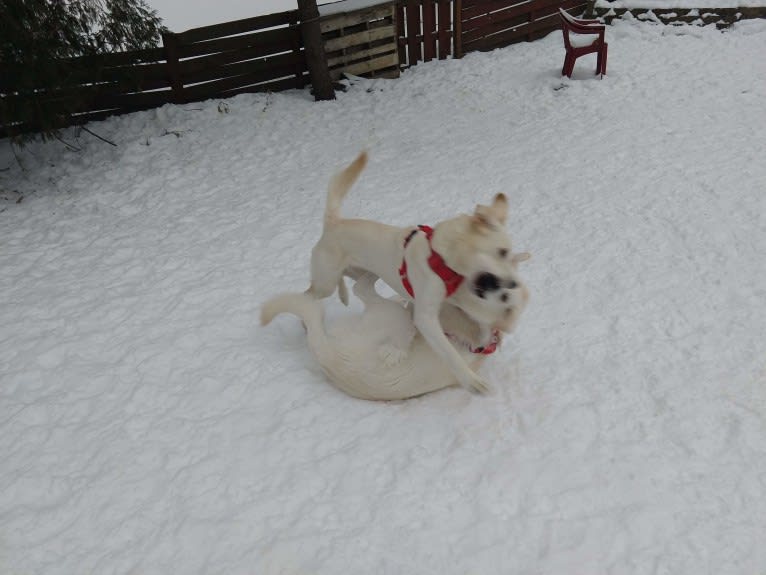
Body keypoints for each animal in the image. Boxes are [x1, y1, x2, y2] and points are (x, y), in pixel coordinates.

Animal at [308, 152, 532, 396]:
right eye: (502, 252)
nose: (512, 284)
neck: (441, 260)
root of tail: (333, 223)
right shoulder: (427, 316)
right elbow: (448, 351)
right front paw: (472, 381)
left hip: (357, 273)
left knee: (354, 284)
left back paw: (345, 294)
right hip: (325, 282)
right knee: (311, 292)